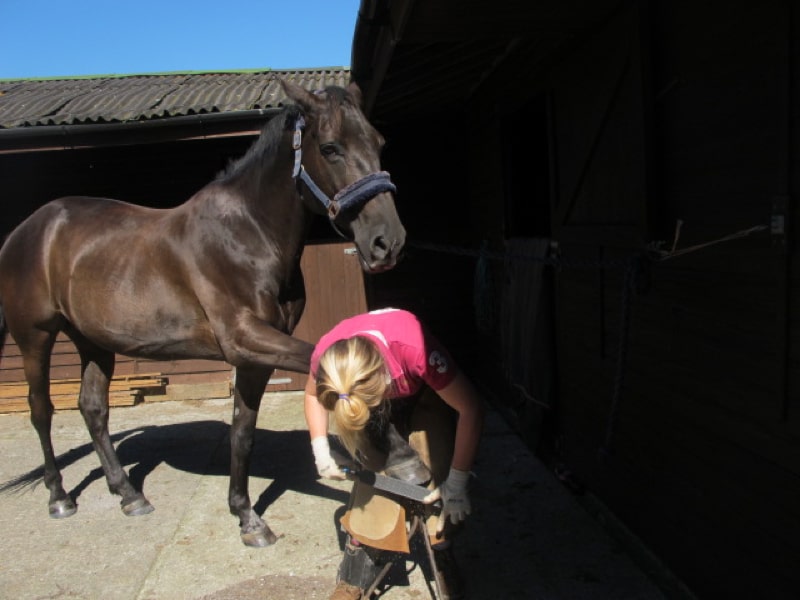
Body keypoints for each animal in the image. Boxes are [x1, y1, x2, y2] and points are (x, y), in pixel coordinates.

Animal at [0, 79, 406, 548]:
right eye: (330, 148)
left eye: (379, 142)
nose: (387, 242)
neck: (247, 234)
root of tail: (27, 229)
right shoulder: (245, 337)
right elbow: (327, 361)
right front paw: (400, 453)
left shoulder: (255, 356)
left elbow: (242, 434)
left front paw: (246, 516)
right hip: (35, 337)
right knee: (41, 410)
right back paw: (60, 497)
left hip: (94, 341)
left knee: (93, 409)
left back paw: (128, 494)